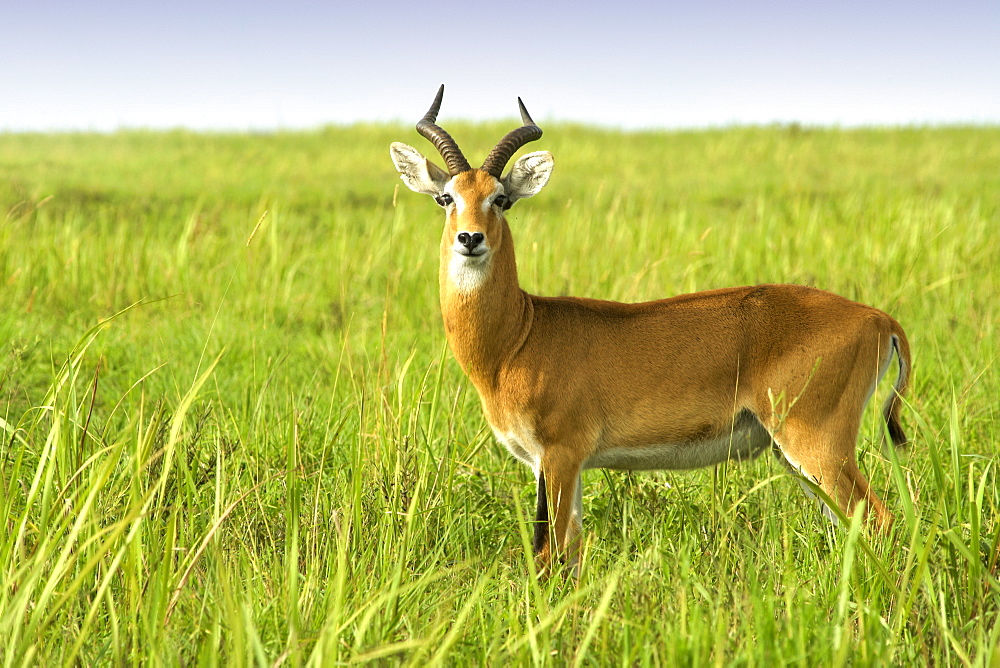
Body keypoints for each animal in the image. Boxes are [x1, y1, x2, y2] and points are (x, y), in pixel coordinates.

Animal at [390, 86, 916, 572]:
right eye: (446, 197)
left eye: (500, 199)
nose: (470, 238)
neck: (520, 335)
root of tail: (878, 318)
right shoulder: (562, 465)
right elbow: (572, 552)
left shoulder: (559, 456)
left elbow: (548, 554)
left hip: (816, 444)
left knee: (880, 519)